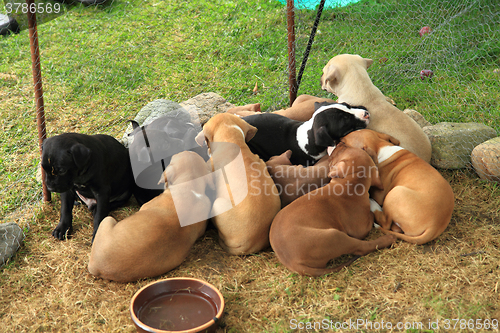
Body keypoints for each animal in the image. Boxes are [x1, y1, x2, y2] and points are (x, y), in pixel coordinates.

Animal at [268, 143, 396, 274]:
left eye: (343, 149)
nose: (340, 143)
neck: (350, 185)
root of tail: (293, 264)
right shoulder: (360, 230)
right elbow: (370, 217)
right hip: (335, 237)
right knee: (361, 247)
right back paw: (388, 239)